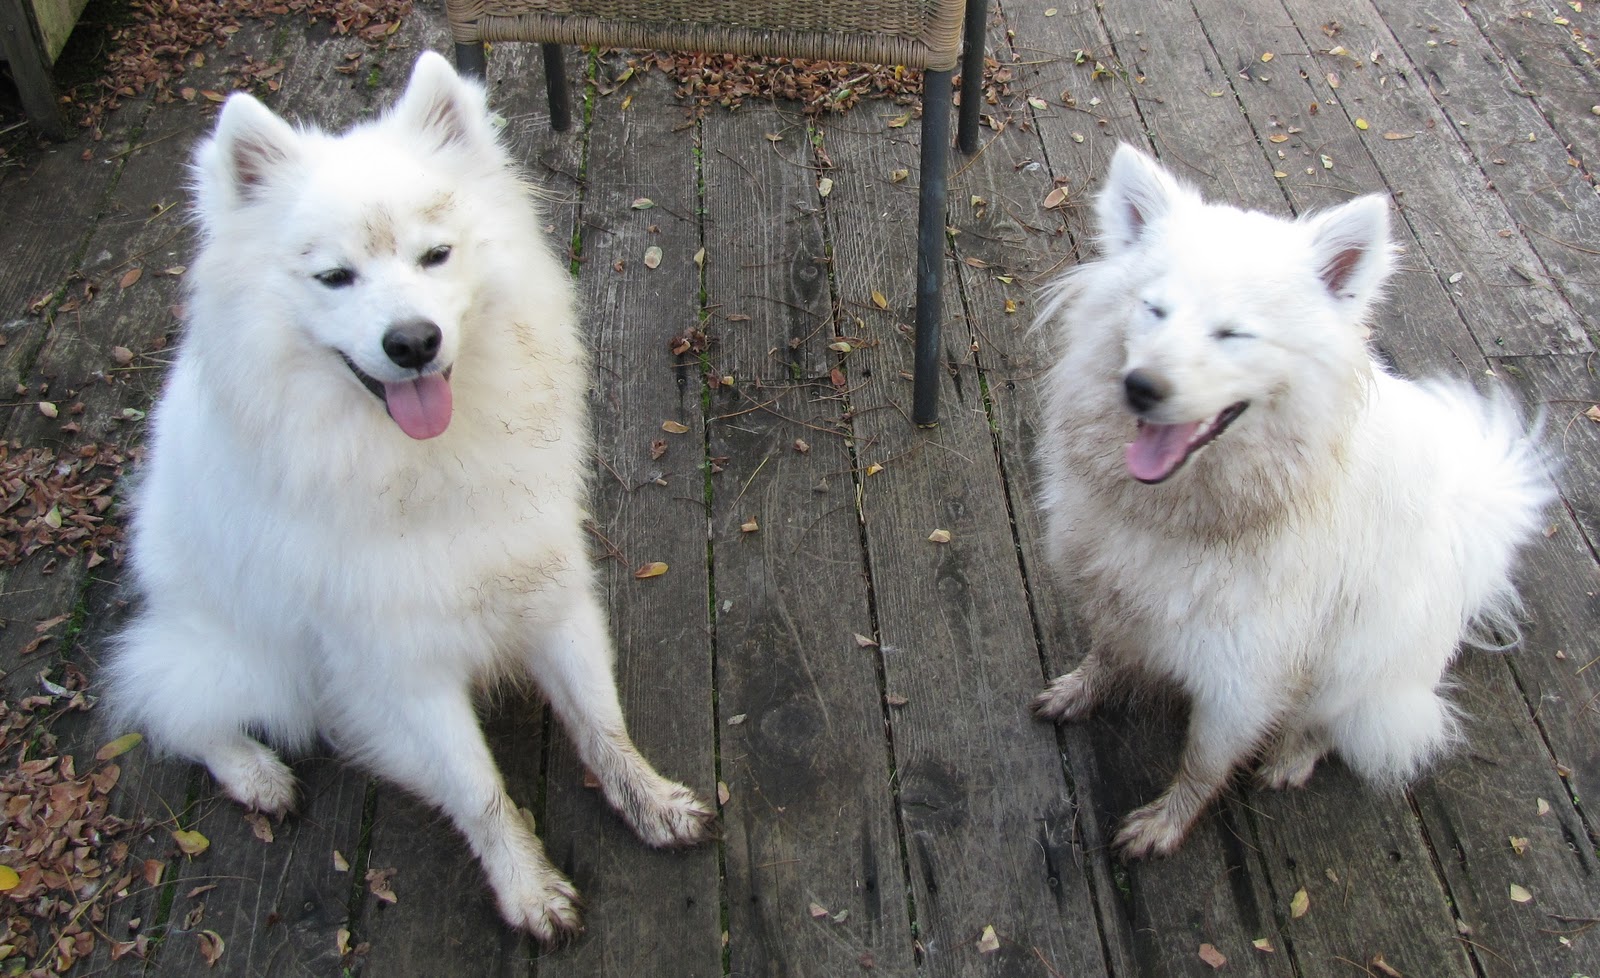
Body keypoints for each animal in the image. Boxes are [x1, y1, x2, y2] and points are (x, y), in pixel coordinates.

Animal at [103, 51, 713, 940]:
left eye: (436, 256)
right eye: (333, 277)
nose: (414, 342)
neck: (429, 466)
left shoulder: (547, 589)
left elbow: (603, 725)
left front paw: (652, 801)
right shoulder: (401, 668)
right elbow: (480, 790)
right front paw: (528, 890)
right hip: (251, 660)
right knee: (172, 703)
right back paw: (254, 772)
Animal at [1030, 144, 1550, 857]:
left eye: (1232, 334)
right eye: (1154, 310)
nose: (1139, 387)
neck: (1195, 514)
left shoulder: (1240, 676)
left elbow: (1203, 763)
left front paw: (1165, 825)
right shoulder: (1120, 598)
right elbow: (1107, 655)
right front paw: (1082, 690)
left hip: (1361, 661)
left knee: (1335, 723)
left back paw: (1292, 755)